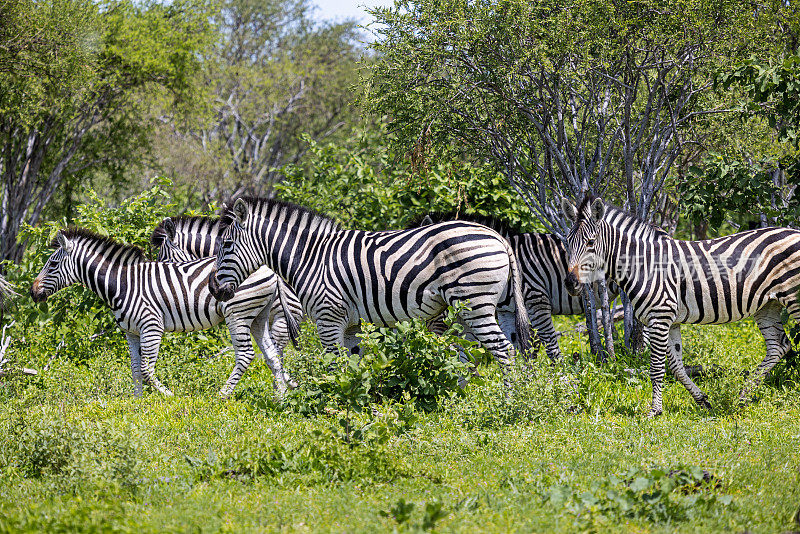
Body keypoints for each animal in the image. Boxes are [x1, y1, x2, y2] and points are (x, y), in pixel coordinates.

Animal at [28, 228, 296, 400]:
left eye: (52, 265)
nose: (32, 292)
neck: (121, 284)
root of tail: (268, 269)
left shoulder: (151, 327)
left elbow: (147, 370)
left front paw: (168, 395)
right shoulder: (131, 332)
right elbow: (135, 368)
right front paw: (137, 403)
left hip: (238, 313)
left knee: (246, 355)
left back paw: (221, 395)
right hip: (258, 315)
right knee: (272, 354)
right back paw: (280, 397)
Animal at [208, 197, 532, 386]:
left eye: (226, 246)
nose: (213, 288)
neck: (312, 257)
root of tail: (497, 236)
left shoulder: (328, 318)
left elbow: (333, 365)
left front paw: (330, 402)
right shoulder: (350, 324)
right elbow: (351, 364)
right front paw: (354, 401)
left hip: (475, 303)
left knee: (503, 350)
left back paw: (510, 403)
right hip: (465, 309)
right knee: (476, 354)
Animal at [560, 197, 800, 418]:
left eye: (591, 243)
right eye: (568, 242)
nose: (570, 284)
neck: (643, 265)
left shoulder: (659, 317)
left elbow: (656, 368)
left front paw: (655, 411)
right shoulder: (670, 320)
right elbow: (676, 367)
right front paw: (703, 401)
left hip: (793, 296)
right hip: (768, 305)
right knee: (779, 346)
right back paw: (742, 396)